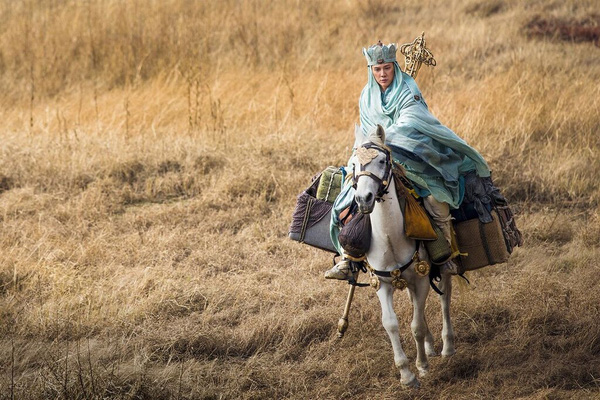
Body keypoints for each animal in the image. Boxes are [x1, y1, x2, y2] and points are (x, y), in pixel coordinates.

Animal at [352, 126, 454, 388]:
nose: (364, 199)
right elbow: (391, 323)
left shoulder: (421, 278)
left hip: (442, 270)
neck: (390, 239)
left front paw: (422, 367)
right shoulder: (382, 284)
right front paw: (406, 375)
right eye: (353, 165)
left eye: (381, 160)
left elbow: (416, 325)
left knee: (444, 299)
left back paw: (447, 347)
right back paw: (430, 346)